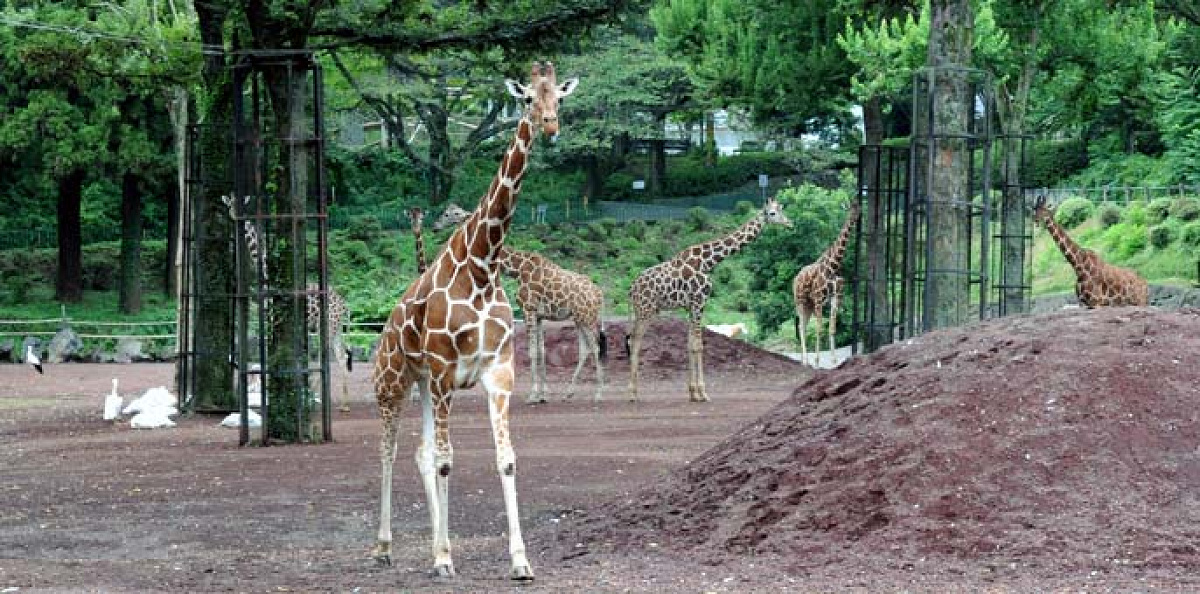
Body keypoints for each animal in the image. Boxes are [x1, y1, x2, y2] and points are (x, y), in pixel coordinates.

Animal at [222, 195, 352, 412]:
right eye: (229, 203)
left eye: (240, 203)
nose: (234, 214)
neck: (268, 276)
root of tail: (345, 305)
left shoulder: (273, 318)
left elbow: (271, 353)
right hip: (335, 328)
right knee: (341, 356)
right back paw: (341, 404)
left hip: (327, 325)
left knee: (329, 356)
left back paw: (317, 399)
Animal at [369, 61, 576, 580]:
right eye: (527, 98)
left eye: (559, 98)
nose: (550, 127)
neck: (483, 264)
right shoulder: (446, 371)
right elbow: (448, 460)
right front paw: (445, 558)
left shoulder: (496, 372)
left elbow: (505, 460)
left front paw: (519, 561)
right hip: (393, 383)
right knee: (390, 450)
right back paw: (384, 547)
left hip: (423, 383)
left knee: (421, 453)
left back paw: (430, 546)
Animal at [496, 246, 609, 405]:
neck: (517, 269)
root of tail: (600, 294)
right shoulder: (539, 316)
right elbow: (542, 351)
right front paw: (543, 395)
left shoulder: (528, 311)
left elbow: (532, 351)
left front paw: (533, 395)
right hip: (580, 319)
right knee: (585, 349)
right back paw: (569, 393)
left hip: (588, 319)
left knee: (595, 347)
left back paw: (598, 394)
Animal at [624, 198, 792, 403]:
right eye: (773, 213)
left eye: (781, 209)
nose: (790, 223)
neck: (708, 262)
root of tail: (631, 289)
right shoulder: (700, 302)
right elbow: (699, 345)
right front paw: (702, 393)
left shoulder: (690, 306)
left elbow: (690, 344)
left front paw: (692, 392)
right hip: (646, 310)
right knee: (635, 341)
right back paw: (632, 393)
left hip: (641, 311)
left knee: (632, 339)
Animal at [792, 201, 859, 367]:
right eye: (850, 209)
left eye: (859, 208)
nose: (854, 219)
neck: (833, 267)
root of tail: (796, 277)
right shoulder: (819, 300)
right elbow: (819, 329)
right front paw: (817, 361)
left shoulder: (836, 298)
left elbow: (832, 329)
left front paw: (834, 361)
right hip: (800, 300)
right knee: (801, 326)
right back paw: (806, 361)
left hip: (808, 304)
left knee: (803, 326)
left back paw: (803, 359)